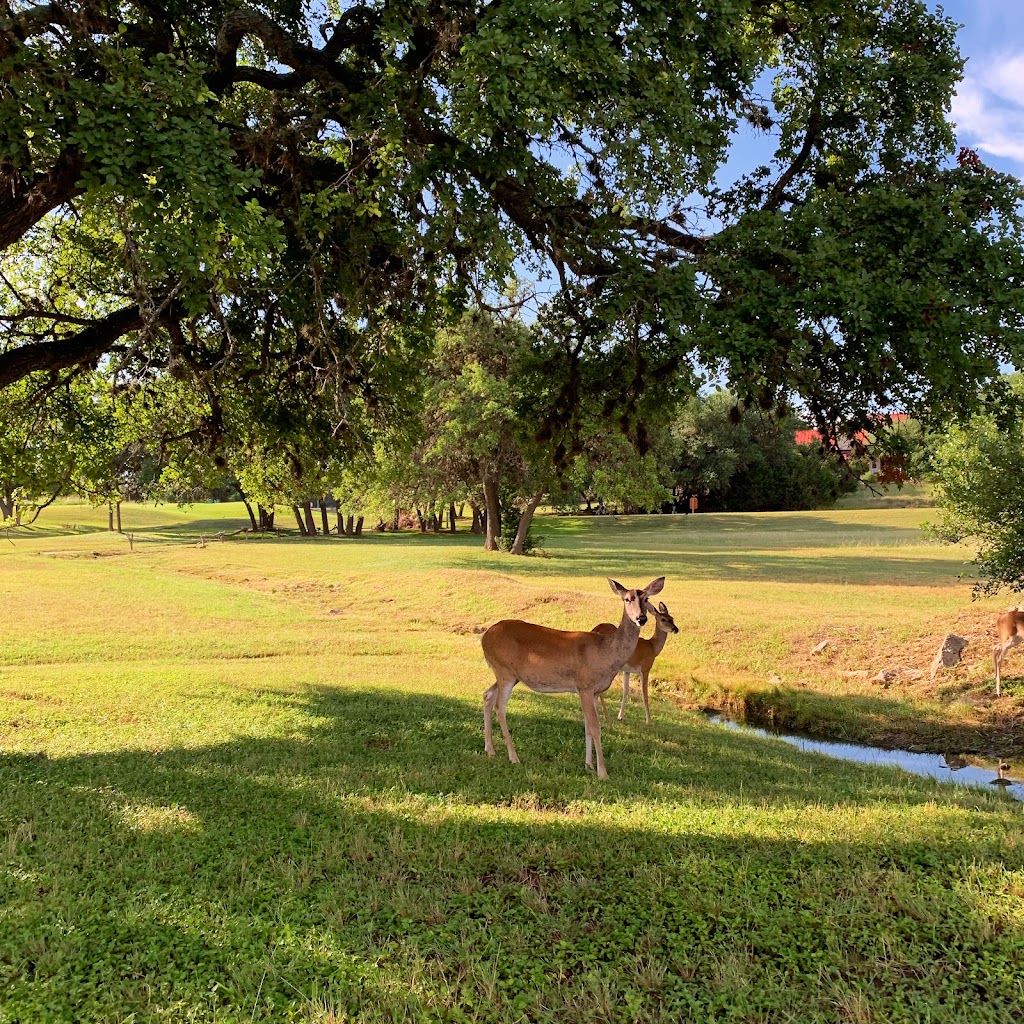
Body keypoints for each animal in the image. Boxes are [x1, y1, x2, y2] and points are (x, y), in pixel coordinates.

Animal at [479, 577, 663, 774]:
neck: (606, 653)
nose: (641, 618)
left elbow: (587, 727)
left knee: (487, 695)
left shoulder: (595, 691)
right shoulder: (585, 685)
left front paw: (589, 765)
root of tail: (484, 637)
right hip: (504, 670)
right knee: (500, 707)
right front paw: (602, 772)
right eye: (627, 599)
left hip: (510, 674)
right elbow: (595, 727)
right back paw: (514, 757)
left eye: (646, 599)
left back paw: (490, 750)